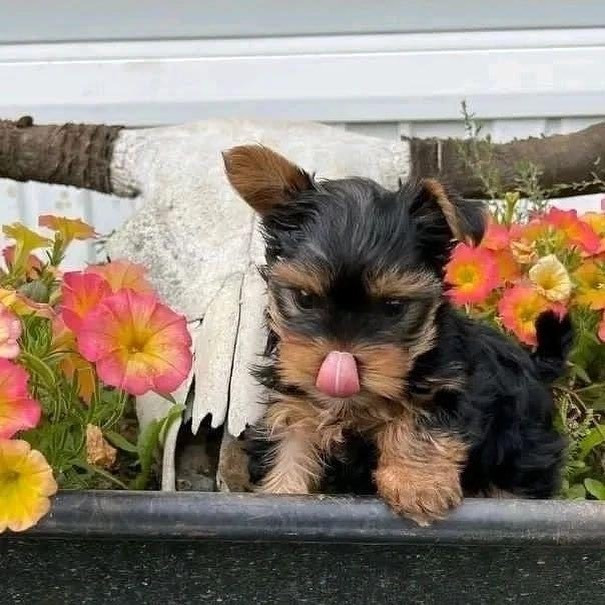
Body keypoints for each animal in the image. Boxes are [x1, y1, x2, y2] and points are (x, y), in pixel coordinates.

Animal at [222, 144, 572, 520]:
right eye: (304, 299)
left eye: (393, 306)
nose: (340, 360)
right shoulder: (293, 406)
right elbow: (288, 451)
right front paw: (281, 493)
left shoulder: (449, 385)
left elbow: (422, 421)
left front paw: (417, 485)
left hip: (521, 451)